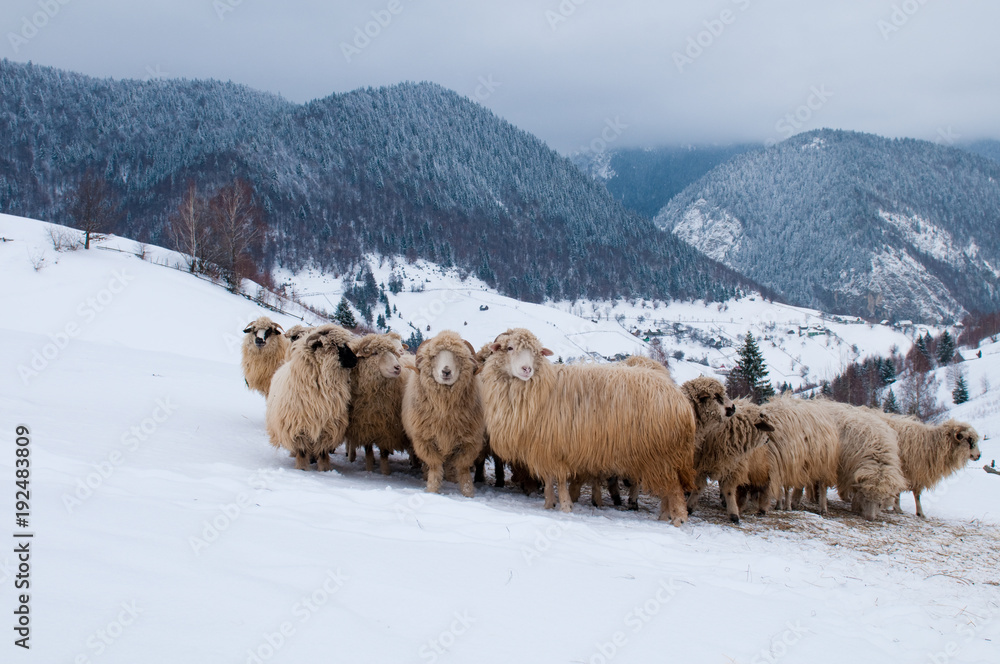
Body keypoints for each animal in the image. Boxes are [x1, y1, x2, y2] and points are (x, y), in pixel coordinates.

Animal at [265, 324, 358, 471]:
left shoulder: (328, 427)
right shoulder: (297, 427)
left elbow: (323, 452)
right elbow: (302, 451)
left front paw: (325, 469)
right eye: (338, 346)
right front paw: (302, 468)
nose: (355, 360)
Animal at [344, 333, 409, 475]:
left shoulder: (387, 428)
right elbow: (368, 450)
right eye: (374, 353)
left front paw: (385, 472)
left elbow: (384, 452)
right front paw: (369, 470)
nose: (398, 367)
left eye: (393, 353)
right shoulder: (364, 425)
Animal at [401, 331, 486, 497]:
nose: (446, 371)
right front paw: (432, 490)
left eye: (458, 356)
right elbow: (434, 467)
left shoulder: (469, 442)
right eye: (434, 356)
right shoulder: (425, 440)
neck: (445, 410)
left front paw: (468, 493)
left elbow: (463, 469)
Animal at [480, 328, 697, 526]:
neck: (542, 387)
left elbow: (560, 481)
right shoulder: (544, 449)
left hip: (662, 456)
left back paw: (678, 520)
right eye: (509, 348)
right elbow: (549, 480)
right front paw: (549, 504)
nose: (527, 369)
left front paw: (565, 507)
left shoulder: (557, 449)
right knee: (668, 491)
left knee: (674, 491)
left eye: (536, 352)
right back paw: (664, 516)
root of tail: (681, 400)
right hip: (660, 459)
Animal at [683, 395, 773, 523]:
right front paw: (689, 506)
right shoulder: (702, 465)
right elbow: (699, 487)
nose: (768, 439)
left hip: (758, 467)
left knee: (763, 487)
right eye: (764, 428)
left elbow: (729, 491)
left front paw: (733, 514)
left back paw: (761, 509)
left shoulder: (732, 468)